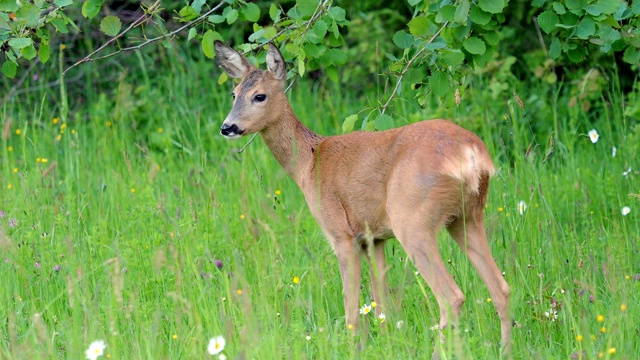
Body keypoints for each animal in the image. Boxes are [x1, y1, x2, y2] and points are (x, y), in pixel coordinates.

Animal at [214, 40, 510, 356]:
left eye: (260, 95)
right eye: (234, 93)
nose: (228, 127)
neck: (308, 164)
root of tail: (472, 153)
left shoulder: (342, 234)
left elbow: (352, 309)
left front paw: (353, 346)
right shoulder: (374, 237)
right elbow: (381, 306)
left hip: (413, 220)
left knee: (452, 296)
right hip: (468, 216)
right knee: (501, 288)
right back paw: (506, 349)